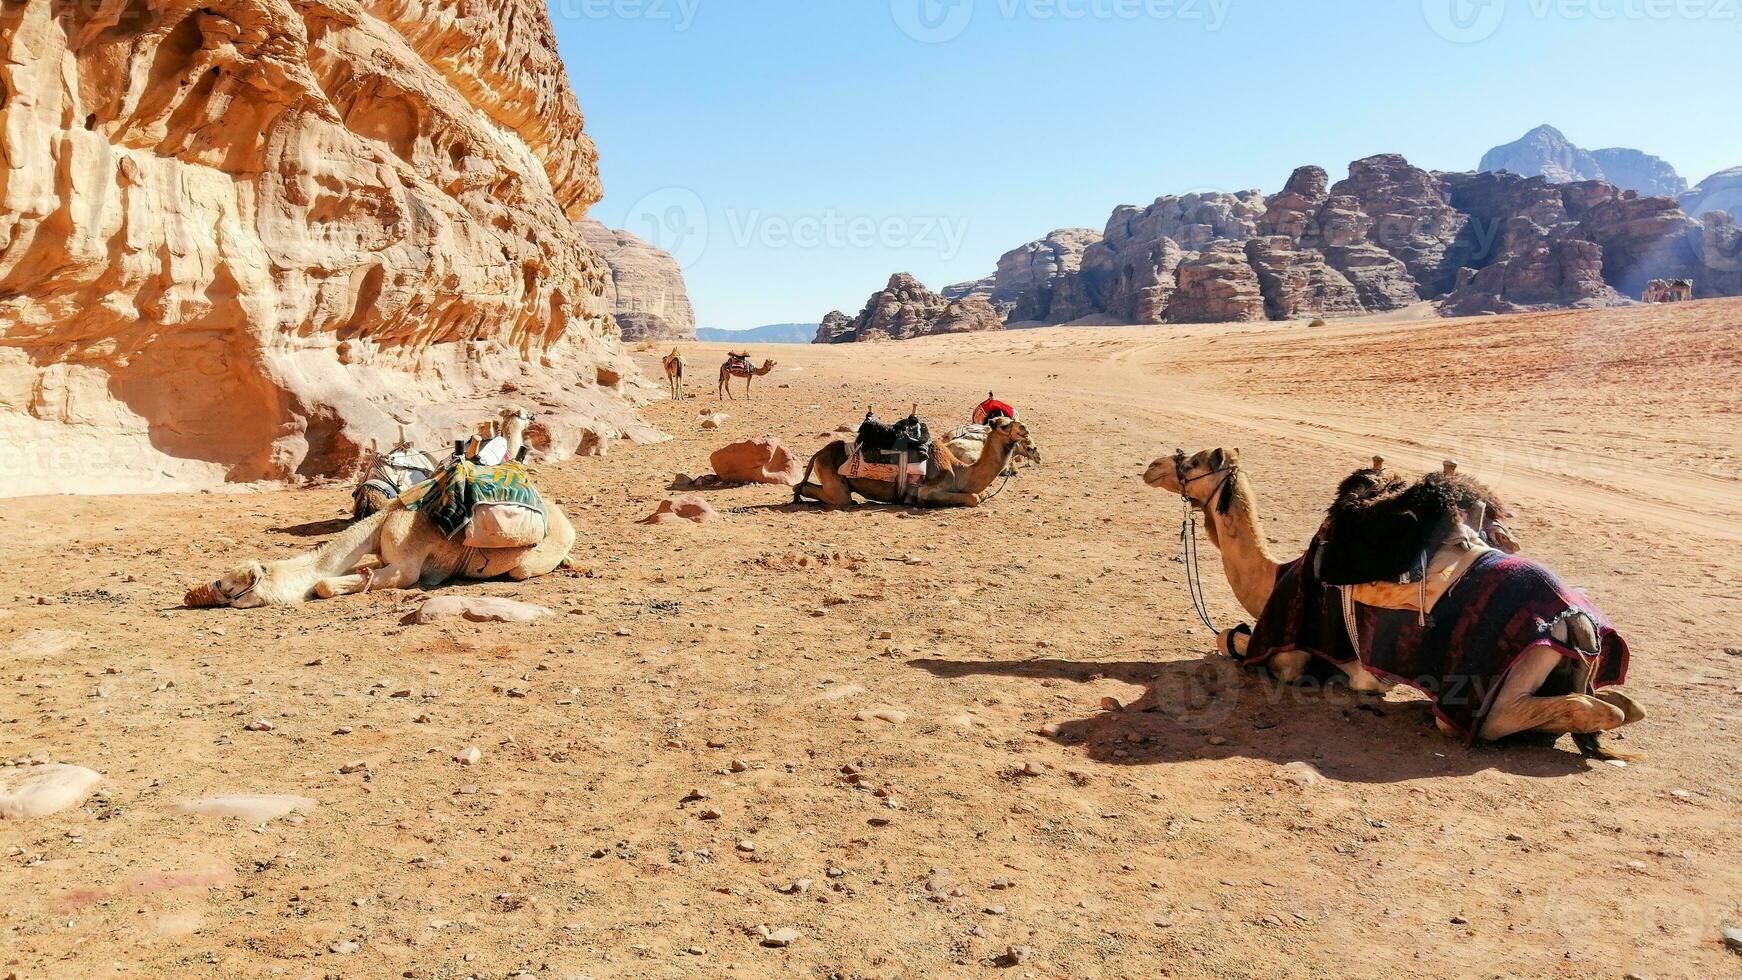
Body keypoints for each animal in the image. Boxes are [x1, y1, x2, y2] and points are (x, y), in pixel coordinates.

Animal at [189, 494, 578, 609]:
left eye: (229, 587)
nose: (192, 594)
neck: (380, 525)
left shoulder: (406, 568)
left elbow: (324, 584)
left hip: (534, 556)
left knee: (521, 569)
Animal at [797, 416, 1038, 511]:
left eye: (1014, 421)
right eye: (1004, 425)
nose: (1025, 429)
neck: (959, 471)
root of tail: (820, 453)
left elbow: (983, 493)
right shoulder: (927, 490)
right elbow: (974, 497)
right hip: (836, 484)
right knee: (821, 491)